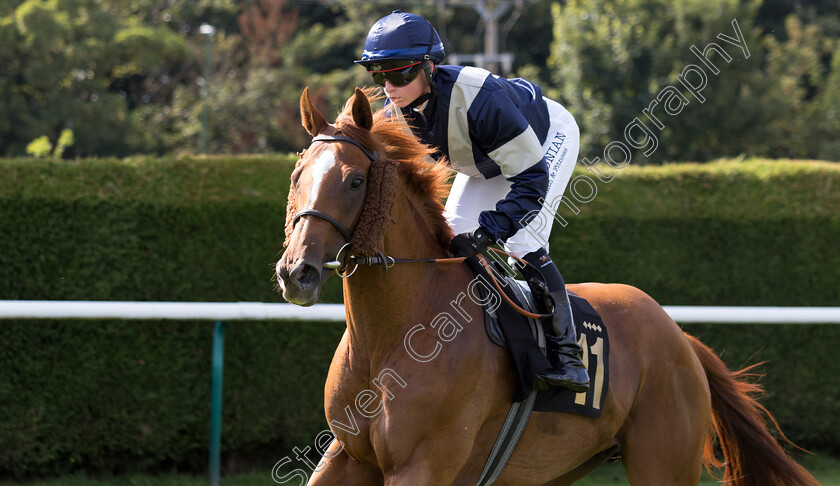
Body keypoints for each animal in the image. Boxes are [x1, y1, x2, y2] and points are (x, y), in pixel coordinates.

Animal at [274, 87, 812, 486]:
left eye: (354, 181)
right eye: (297, 173)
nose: (296, 272)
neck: (392, 334)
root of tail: (680, 339)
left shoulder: (422, 465)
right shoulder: (348, 456)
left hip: (664, 462)